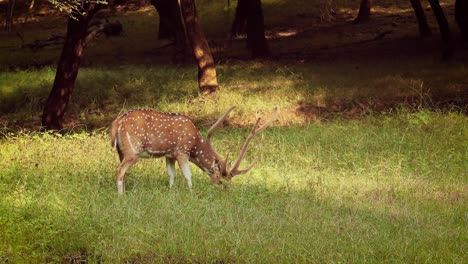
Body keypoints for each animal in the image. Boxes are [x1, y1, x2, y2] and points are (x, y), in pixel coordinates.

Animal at [110, 105, 278, 194]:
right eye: (222, 180)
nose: (225, 191)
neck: (195, 145)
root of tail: (117, 122)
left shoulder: (169, 155)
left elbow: (172, 175)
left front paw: (171, 192)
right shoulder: (182, 151)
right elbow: (187, 175)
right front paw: (192, 193)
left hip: (121, 151)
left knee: (122, 171)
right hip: (133, 150)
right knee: (119, 170)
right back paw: (121, 195)